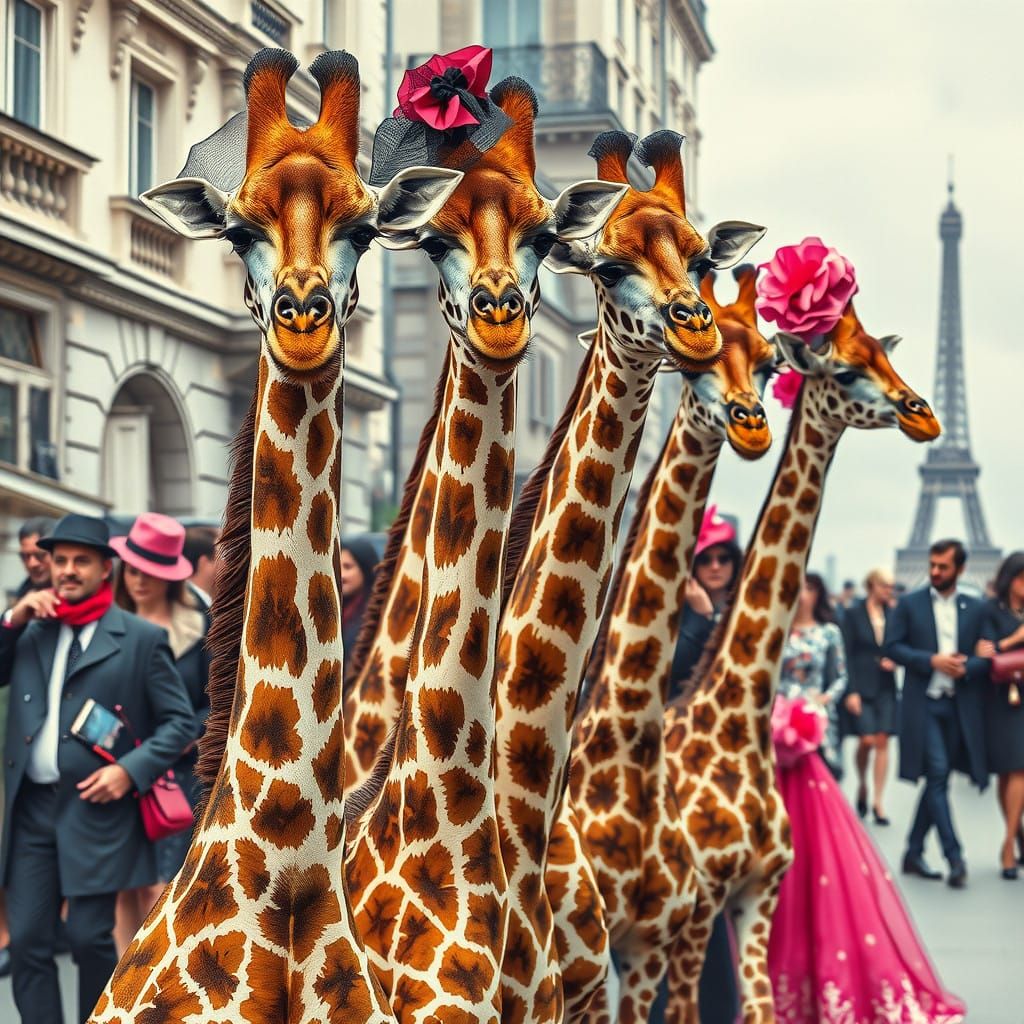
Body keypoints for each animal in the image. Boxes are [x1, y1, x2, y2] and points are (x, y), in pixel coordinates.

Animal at [662, 302, 940, 1024]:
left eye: (885, 354)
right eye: (842, 369)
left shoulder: (758, 891)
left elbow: (759, 1006)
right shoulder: (701, 903)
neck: (741, 720)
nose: (924, 415)